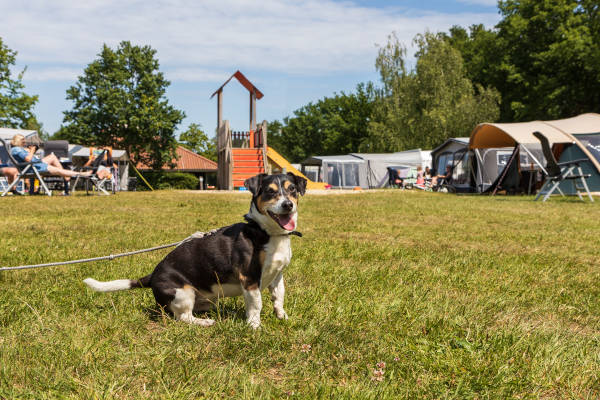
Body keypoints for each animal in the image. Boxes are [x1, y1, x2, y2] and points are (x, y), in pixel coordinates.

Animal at [82, 172, 308, 328]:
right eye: (270, 191)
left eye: (292, 190)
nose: (288, 205)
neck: (267, 232)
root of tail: (152, 276)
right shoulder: (249, 278)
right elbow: (256, 305)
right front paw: (254, 326)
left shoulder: (277, 275)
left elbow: (278, 298)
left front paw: (282, 316)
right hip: (184, 292)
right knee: (183, 317)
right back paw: (204, 323)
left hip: (204, 298)